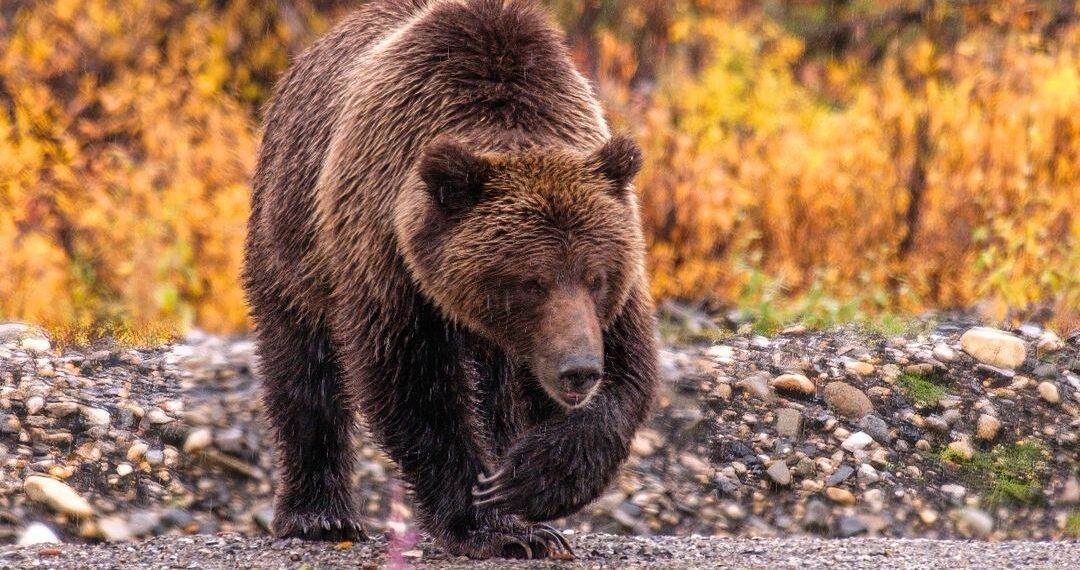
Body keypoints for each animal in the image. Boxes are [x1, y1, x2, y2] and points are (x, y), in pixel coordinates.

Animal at [243, 0, 658, 560]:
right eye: (531, 281)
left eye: (597, 277)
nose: (578, 371)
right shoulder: (388, 255)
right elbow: (415, 385)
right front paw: (494, 524)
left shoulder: (616, 278)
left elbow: (628, 372)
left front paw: (530, 484)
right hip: (293, 232)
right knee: (303, 366)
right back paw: (318, 515)